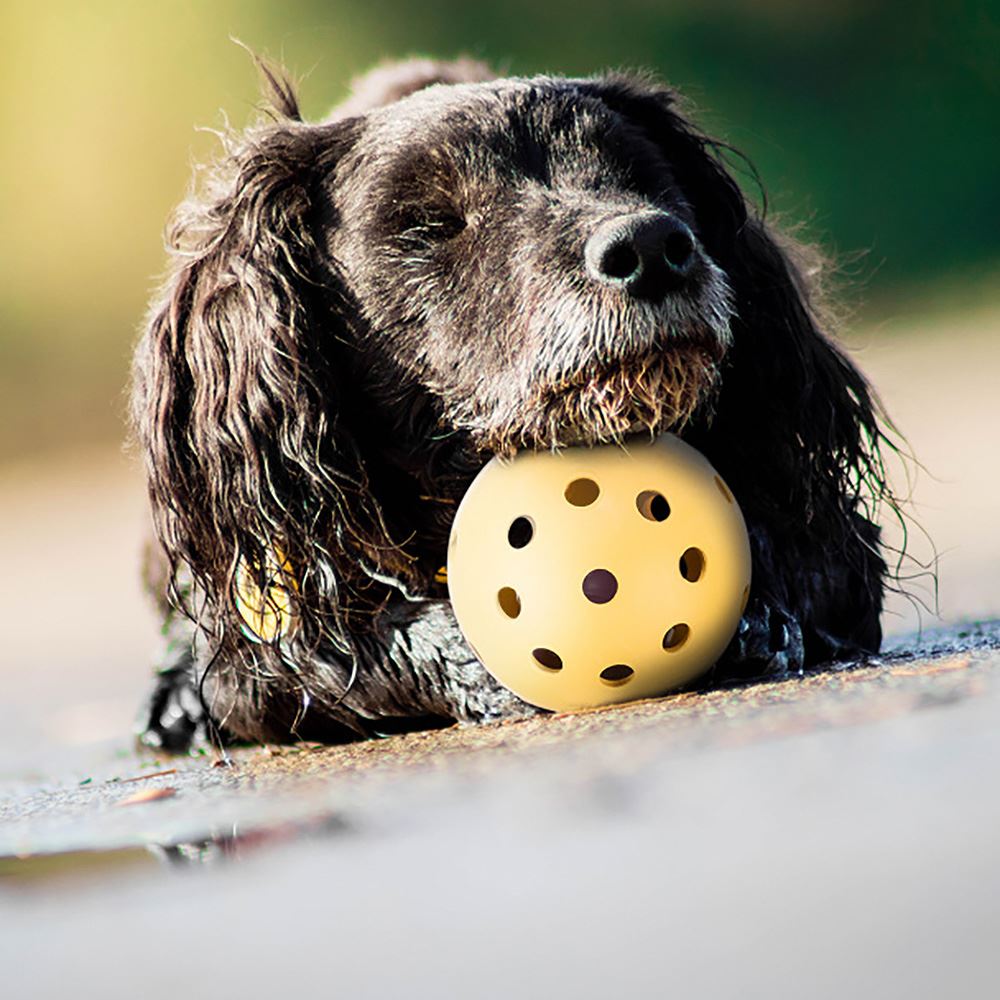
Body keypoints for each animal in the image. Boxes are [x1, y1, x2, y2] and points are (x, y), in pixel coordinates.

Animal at [131, 56, 892, 752]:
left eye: (640, 176)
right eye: (429, 224)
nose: (652, 246)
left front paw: (759, 605)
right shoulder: (262, 637)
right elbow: (345, 648)